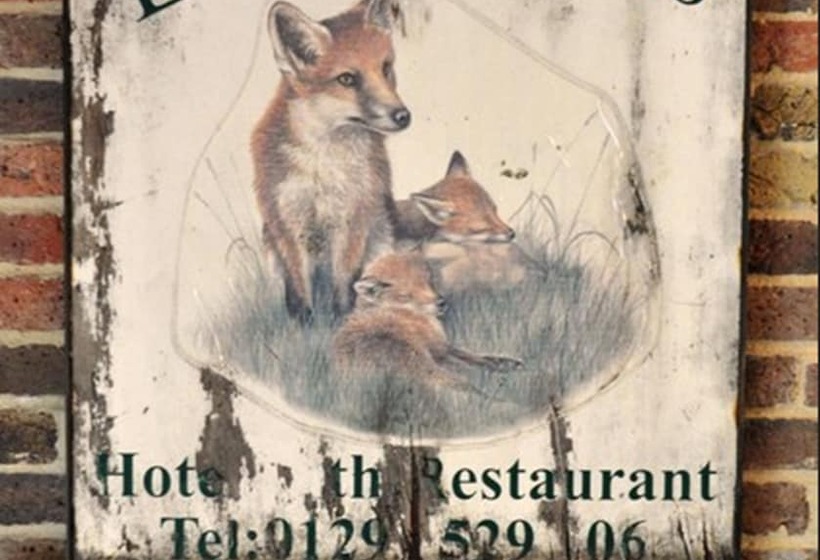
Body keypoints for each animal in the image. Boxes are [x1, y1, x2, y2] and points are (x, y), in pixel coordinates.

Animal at [252, 0, 410, 321]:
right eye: (347, 79)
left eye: (385, 68)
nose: (403, 116)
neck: (321, 167)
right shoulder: (287, 222)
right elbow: (299, 292)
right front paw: (303, 327)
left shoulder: (351, 219)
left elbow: (344, 286)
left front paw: (340, 322)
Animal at [333, 252, 522, 396]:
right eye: (405, 295)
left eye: (429, 281)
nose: (441, 303)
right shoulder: (440, 352)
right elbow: (479, 363)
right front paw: (505, 369)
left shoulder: (445, 347)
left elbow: (481, 356)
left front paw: (510, 362)